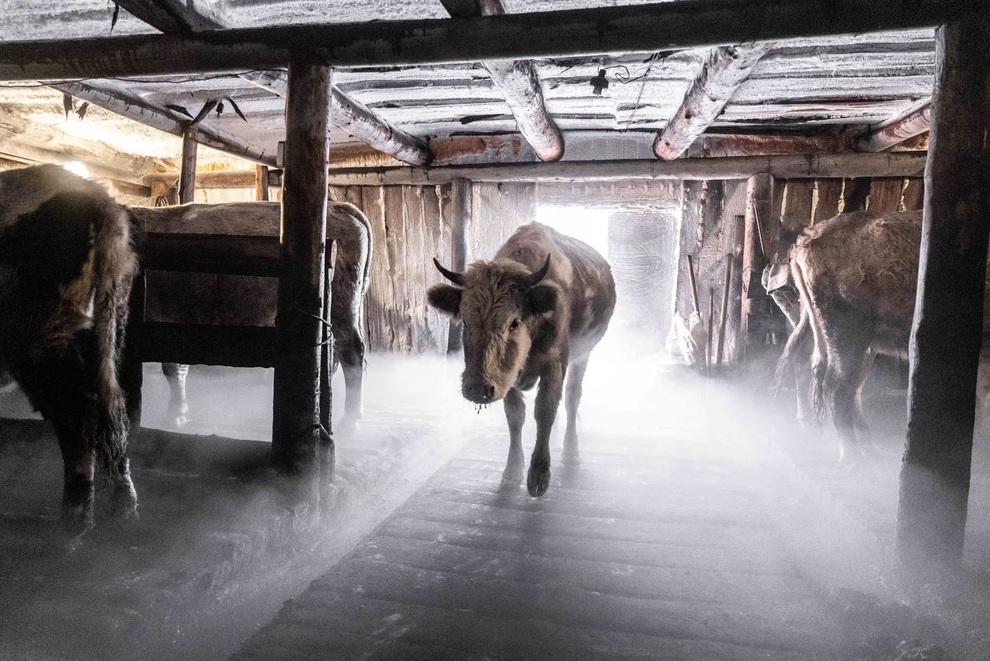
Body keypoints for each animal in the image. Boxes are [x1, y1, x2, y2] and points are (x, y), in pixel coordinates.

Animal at [0, 165, 140, 536]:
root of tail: (96, 195)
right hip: (108, 324)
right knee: (113, 410)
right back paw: (123, 510)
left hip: (42, 341)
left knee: (78, 420)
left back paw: (72, 529)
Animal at [130, 201, 374, 434]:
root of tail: (338, 207)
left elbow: (172, 367)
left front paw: (175, 415)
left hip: (342, 310)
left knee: (351, 353)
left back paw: (350, 420)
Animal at [428, 222, 616, 496]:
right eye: (465, 319)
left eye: (514, 322)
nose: (477, 389)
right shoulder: (507, 378)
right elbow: (516, 417)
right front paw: (511, 472)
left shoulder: (555, 366)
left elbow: (545, 411)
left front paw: (539, 476)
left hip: (583, 355)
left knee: (572, 398)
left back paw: (571, 452)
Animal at [776, 209, 990, 462]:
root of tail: (808, 238)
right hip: (848, 336)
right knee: (837, 387)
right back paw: (853, 457)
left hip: (860, 343)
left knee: (844, 384)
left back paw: (864, 448)